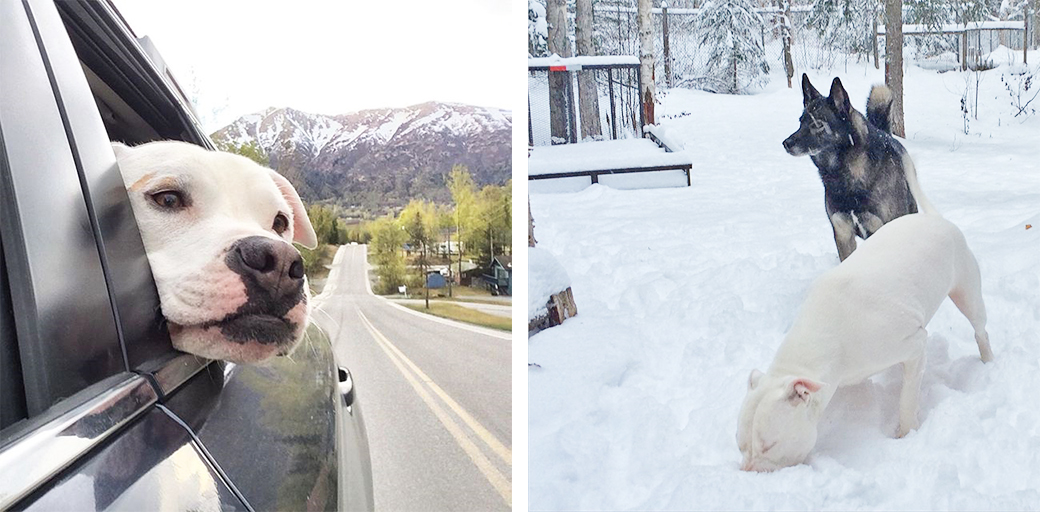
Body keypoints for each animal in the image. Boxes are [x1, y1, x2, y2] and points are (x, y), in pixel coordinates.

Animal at [740, 213, 990, 472]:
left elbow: (908, 397)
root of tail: (934, 217)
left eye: (769, 445)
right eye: (741, 445)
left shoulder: (915, 344)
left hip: (967, 292)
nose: (747, 471)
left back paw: (988, 360)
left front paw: (906, 431)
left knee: (980, 329)